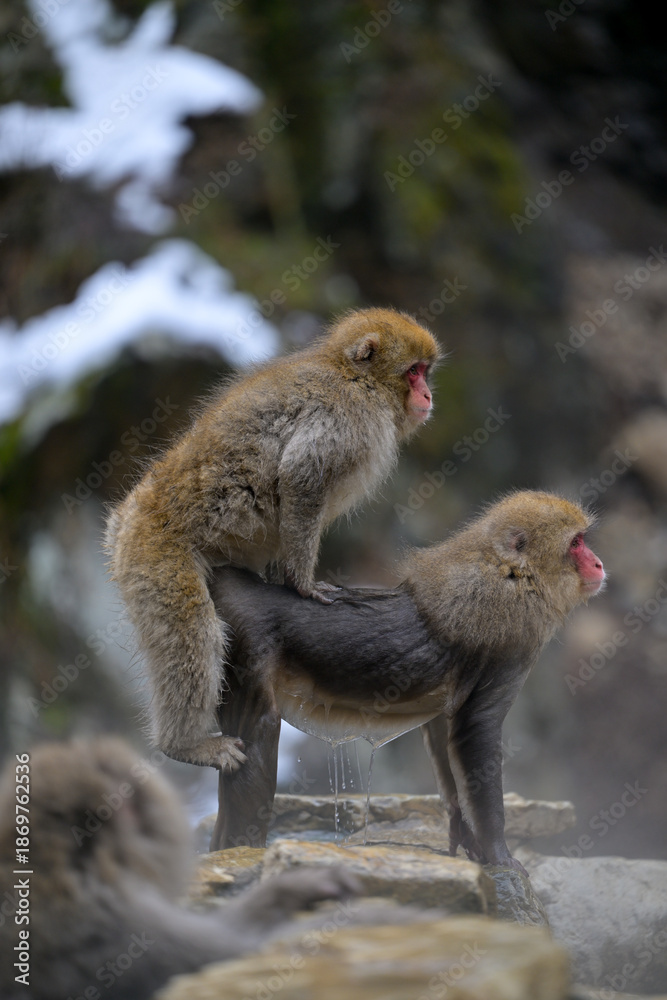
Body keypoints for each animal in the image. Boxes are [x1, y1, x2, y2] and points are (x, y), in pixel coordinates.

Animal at [104, 308, 440, 774]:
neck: (356, 378)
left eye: (425, 371)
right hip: (154, 557)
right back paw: (185, 745)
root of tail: (126, 520)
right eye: (413, 372)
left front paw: (285, 580)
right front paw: (302, 584)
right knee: (196, 634)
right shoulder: (347, 417)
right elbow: (301, 476)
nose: (427, 394)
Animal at [207, 491, 605, 871]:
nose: (599, 563)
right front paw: (498, 853)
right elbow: (477, 730)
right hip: (247, 646)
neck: (514, 573)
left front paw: (464, 833)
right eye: (576, 543)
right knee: (258, 734)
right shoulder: (514, 645)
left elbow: (446, 729)